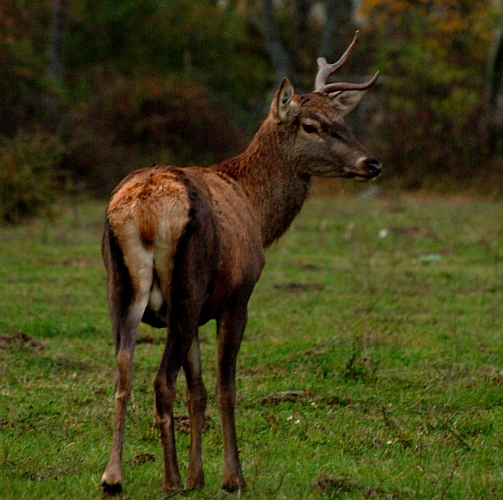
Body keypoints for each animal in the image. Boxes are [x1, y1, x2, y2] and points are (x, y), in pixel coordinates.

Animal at [100, 32, 380, 496]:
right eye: (310, 125)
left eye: (343, 121)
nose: (371, 163)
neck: (256, 209)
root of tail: (145, 209)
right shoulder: (237, 296)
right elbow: (225, 386)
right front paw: (232, 477)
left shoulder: (198, 311)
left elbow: (198, 389)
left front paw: (199, 475)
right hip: (186, 284)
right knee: (161, 379)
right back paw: (169, 480)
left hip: (122, 287)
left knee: (124, 369)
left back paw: (114, 476)